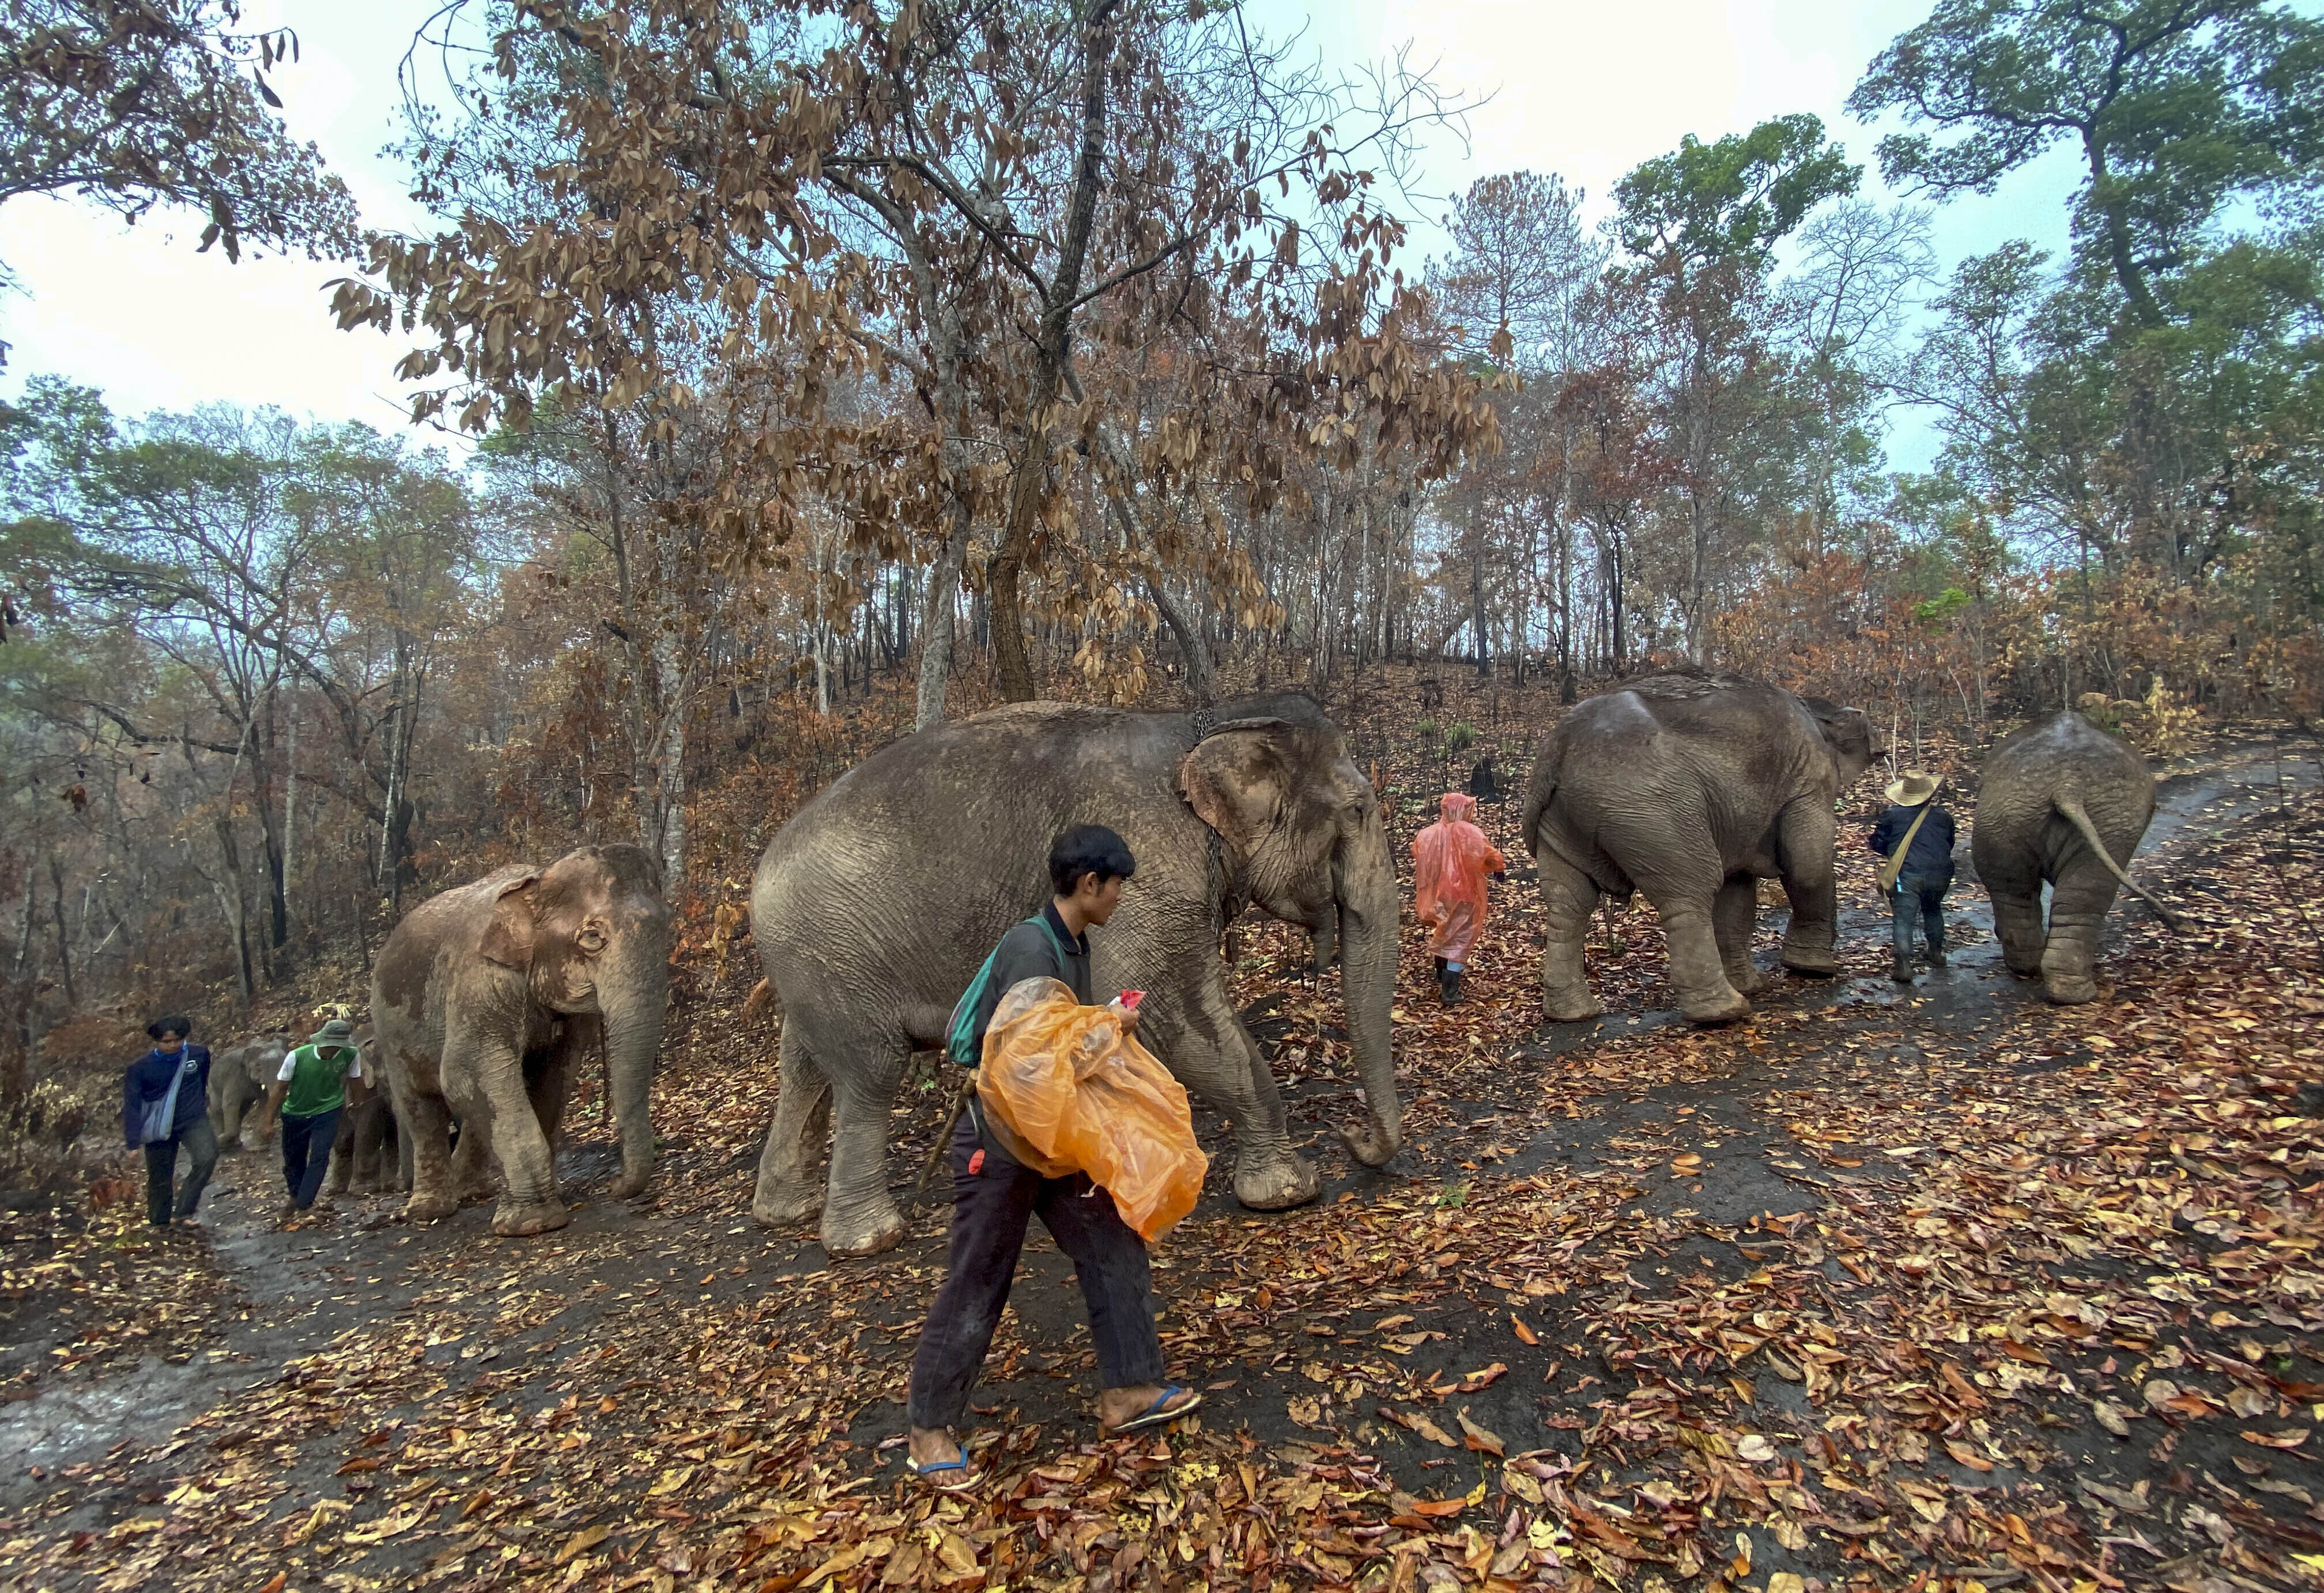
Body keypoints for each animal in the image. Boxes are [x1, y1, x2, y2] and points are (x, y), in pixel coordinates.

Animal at [205, 1023, 290, 1148]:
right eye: (259, 1067)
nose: (271, 1133)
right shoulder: (234, 1076)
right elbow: (230, 1104)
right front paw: (222, 1139)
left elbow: (264, 1102)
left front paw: (259, 1146)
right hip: (213, 1085)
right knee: (217, 1109)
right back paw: (222, 1144)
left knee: (242, 1110)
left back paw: (235, 1143)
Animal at [367, 837, 669, 1237]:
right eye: (593, 938)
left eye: (670, 927)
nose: (614, 1185)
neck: (538, 882)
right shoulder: (480, 981)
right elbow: (464, 1074)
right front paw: (533, 1224)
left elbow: (553, 1077)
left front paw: (547, 1203)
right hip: (390, 1030)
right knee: (420, 1106)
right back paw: (428, 1211)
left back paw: (473, 1191)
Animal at [748, 693, 1394, 1256]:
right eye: (1359, 811)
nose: (1353, 1137)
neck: (1206, 724)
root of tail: (756, 881)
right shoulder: (1149, 874)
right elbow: (1174, 1013)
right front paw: (1288, 1192)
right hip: (834, 949)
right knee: (870, 1073)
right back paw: (868, 1239)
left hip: (816, 966)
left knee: (803, 1063)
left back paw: (787, 1211)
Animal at [1524, 669, 1868, 1018]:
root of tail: (1557, 749)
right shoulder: (1809, 777)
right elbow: (1808, 866)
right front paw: (1814, 971)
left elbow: (1738, 890)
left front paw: (1756, 985)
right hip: (1654, 810)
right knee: (1692, 889)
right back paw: (1725, 1012)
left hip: (1564, 818)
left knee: (1569, 903)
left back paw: (1574, 1013)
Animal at [1961, 711, 2175, 1000]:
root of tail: (2068, 785)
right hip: (2106, 821)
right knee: (2081, 894)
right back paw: (2074, 993)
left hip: (2006, 813)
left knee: (2018, 889)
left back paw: (2036, 975)